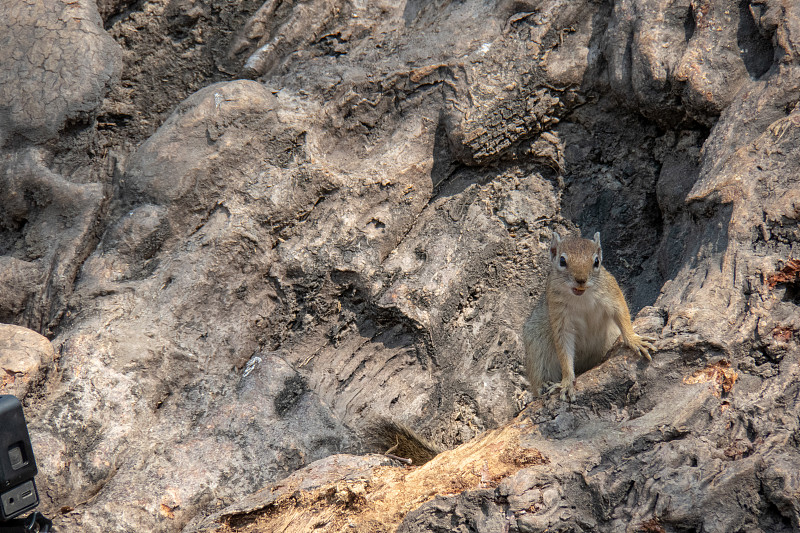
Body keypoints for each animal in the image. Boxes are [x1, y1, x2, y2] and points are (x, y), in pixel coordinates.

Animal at [524, 231, 656, 402]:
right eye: (562, 260)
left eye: (596, 261)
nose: (581, 280)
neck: (581, 297)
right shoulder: (559, 315)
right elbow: (564, 348)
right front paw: (567, 382)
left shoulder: (612, 294)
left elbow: (622, 315)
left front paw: (634, 340)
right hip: (536, 347)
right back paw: (543, 386)